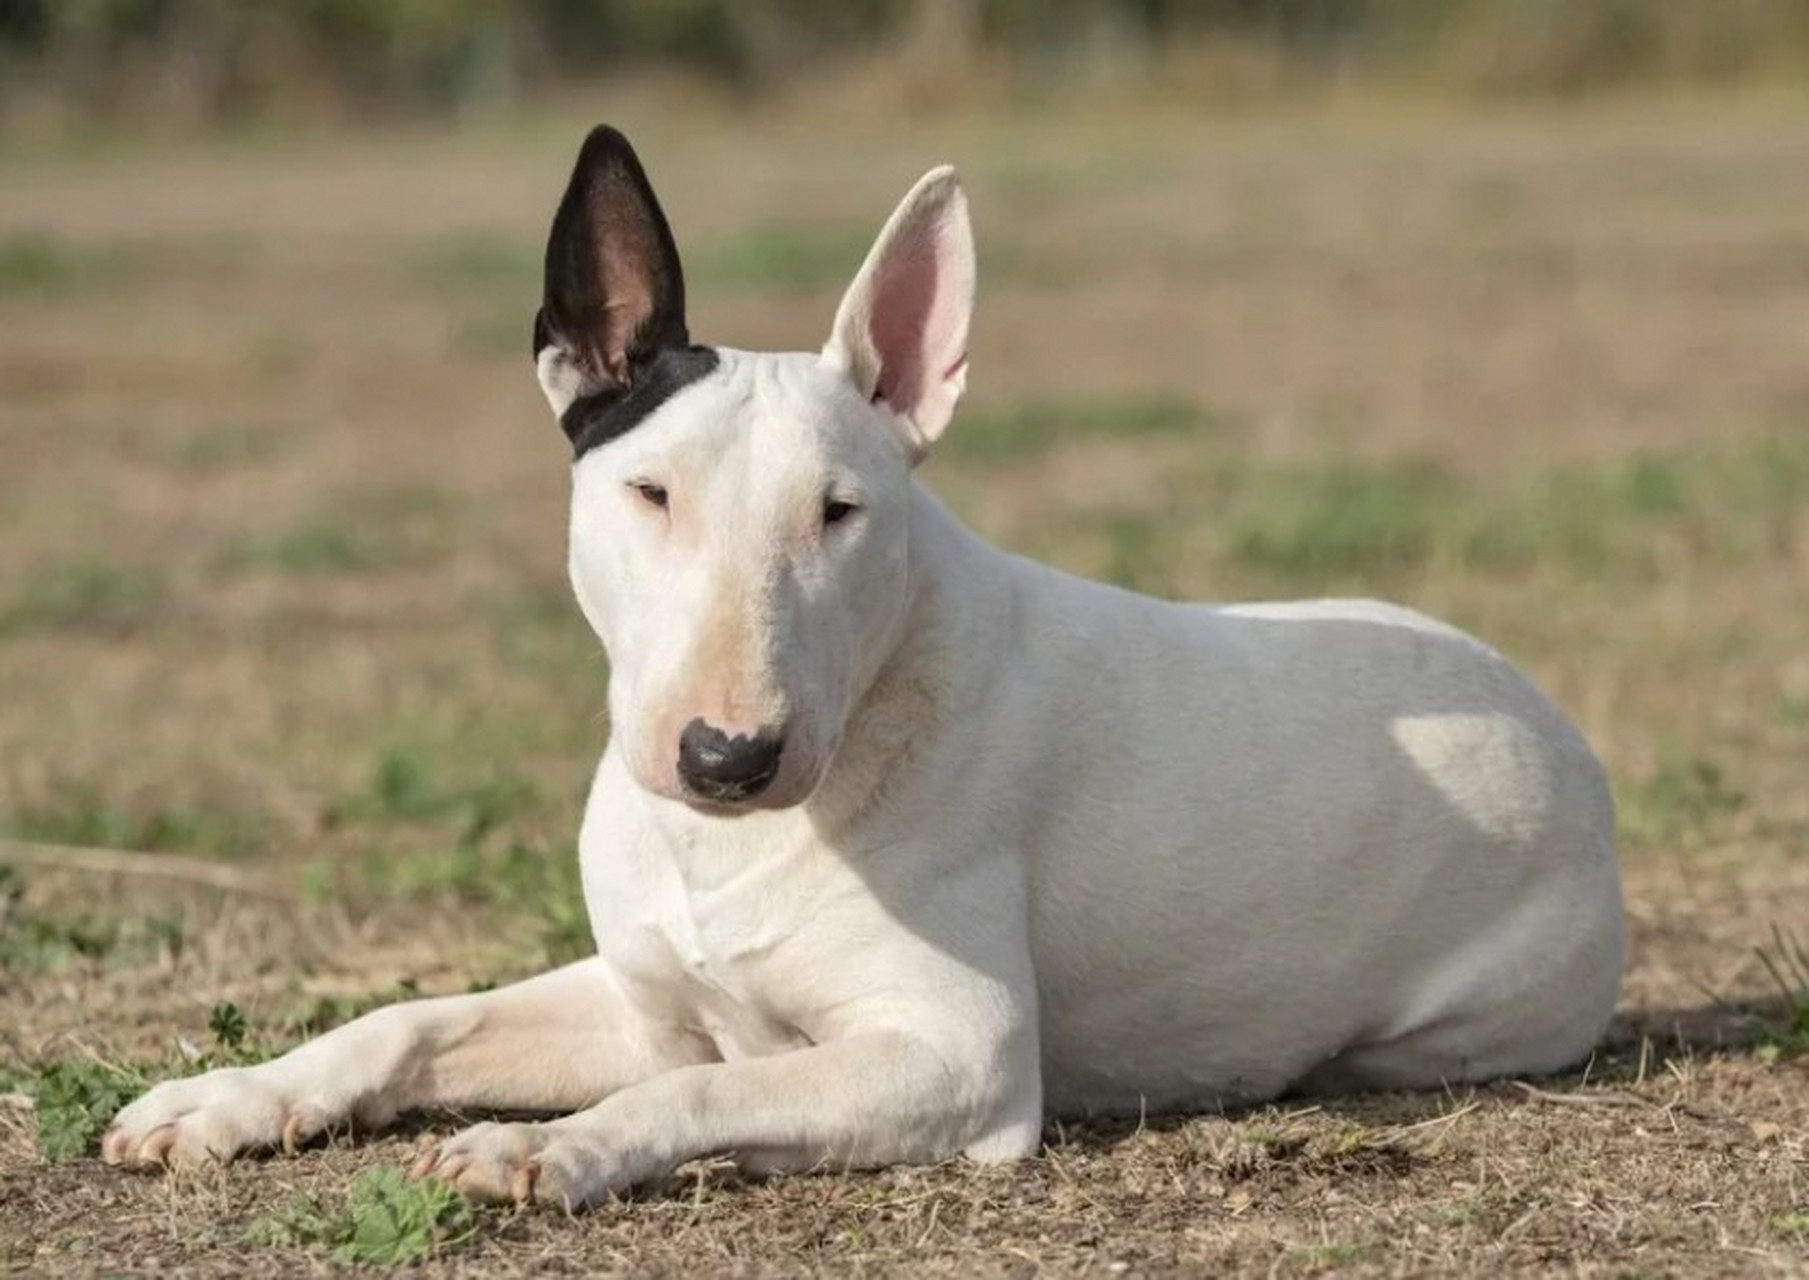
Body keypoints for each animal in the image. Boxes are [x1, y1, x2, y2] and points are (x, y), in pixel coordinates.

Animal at [99, 124, 1628, 1207]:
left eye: (840, 512)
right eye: (649, 492)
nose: (727, 759)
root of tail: (1553, 722)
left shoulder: (957, 1049)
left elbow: (707, 1096)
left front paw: (555, 1149)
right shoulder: (646, 1000)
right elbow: (414, 1019)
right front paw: (225, 1098)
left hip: (1458, 1014)